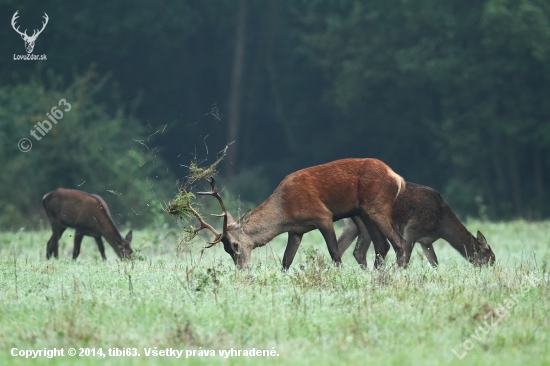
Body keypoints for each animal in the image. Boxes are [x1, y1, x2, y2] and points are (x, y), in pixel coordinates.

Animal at [189, 157, 410, 268]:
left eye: (235, 245)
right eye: (226, 249)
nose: (241, 269)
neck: (285, 211)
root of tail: (398, 178)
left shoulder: (323, 216)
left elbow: (335, 253)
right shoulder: (296, 230)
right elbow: (286, 261)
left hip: (378, 207)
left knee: (399, 242)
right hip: (365, 212)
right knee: (382, 246)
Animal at [338, 182, 498, 266]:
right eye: (488, 260)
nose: (490, 272)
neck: (441, 224)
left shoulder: (426, 241)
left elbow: (434, 262)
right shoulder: (411, 229)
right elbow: (404, 260)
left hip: (351, 224)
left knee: (342, 248)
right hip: (364, 222)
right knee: (359, 251)